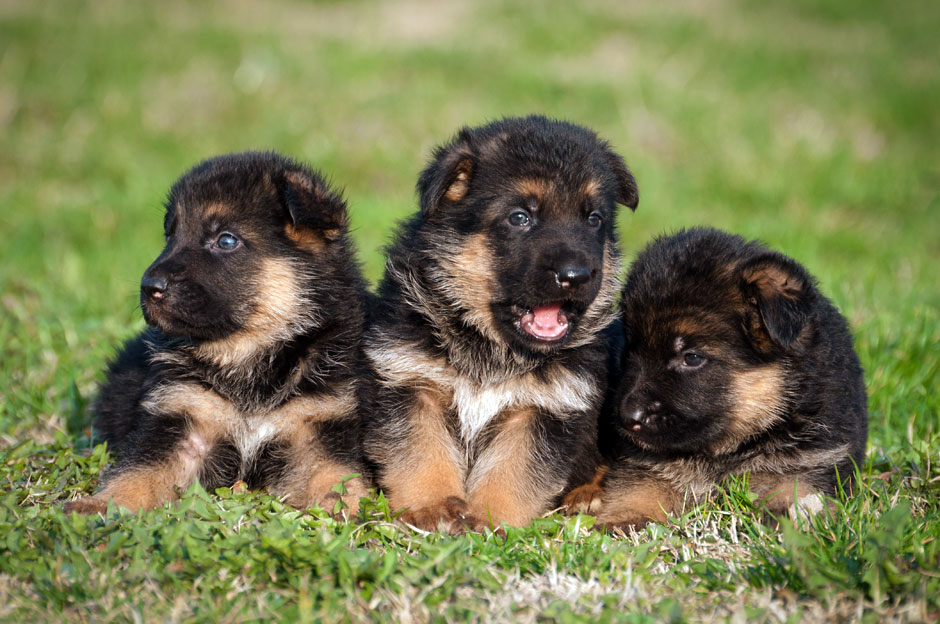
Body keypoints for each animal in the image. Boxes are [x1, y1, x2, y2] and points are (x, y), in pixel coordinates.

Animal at [63, 152, 368, 516]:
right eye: (170, 235)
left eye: (226, 240)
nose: (149, 287)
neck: (248, 354)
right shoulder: (183, 418)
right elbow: (138, 473)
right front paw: (98, 505)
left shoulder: (317, 428)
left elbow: (339, 479)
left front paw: (366, 513)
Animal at [360, 113, 640, 532]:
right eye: (520, 217)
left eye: (594, 219)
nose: (576, 276)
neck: (492, 348)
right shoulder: (411, 382)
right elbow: (421, 451)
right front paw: (434, 506)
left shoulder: (546, 409)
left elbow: (514, 470)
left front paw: (490, 518)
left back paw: (587, 494)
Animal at [564, 227, 868, 528]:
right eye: (630, 350)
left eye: (692, 358)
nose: (628, 418)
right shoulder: (644, 462)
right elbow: (639, 491)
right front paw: (622, 519)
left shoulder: (807, 461)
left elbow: (795, 492)